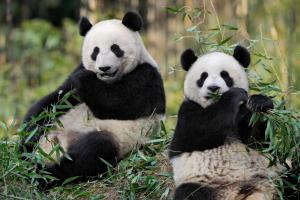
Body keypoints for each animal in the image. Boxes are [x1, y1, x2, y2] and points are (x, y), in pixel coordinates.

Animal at [20, 10, 166, 188]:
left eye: (115, 48)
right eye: (95, 51)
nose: (104, 68)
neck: (107, 81)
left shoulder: (147, 77)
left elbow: (120, 102)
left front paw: (84, 79)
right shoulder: (73, 81)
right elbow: (54, 102)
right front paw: (27, 134)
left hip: (120, 138)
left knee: (92, 152)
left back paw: (45, 173)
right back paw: (26, 155)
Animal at [169, 46, 284, 199]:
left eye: (225, 75)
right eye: (203, 76)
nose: (213, 88)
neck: (213, 104)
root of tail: (238, 193)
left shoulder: (242, 116)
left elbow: (256, 140)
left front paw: (259, 102)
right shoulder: (187, 110)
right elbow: (197, 131)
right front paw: (233, 95)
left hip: (274, 177)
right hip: (202, 183)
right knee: (190, 193)